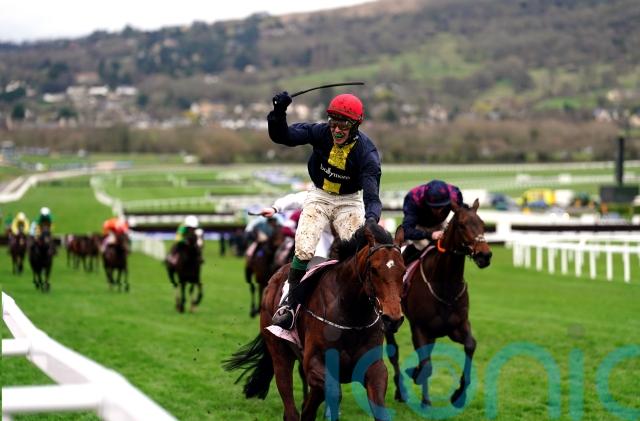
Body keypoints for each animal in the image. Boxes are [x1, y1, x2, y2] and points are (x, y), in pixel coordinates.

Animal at [224, 222, 406, 421]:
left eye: (403, 271)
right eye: (373, 269)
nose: (392, 319)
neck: (352, 316)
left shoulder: (373, 367)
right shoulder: (314, 363)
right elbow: (330, 393)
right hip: (279, 352)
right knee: (289, 403)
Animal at [385, 199, 492, 409]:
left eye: (483, 224)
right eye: (462, 225)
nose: (485, 255)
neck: (445, 285)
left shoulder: (457, 326)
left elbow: (470, 345)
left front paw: (458, 395)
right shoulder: (420, 328)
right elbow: (426, 364)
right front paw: (421, 390)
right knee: (394, 353)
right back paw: (401, 391)